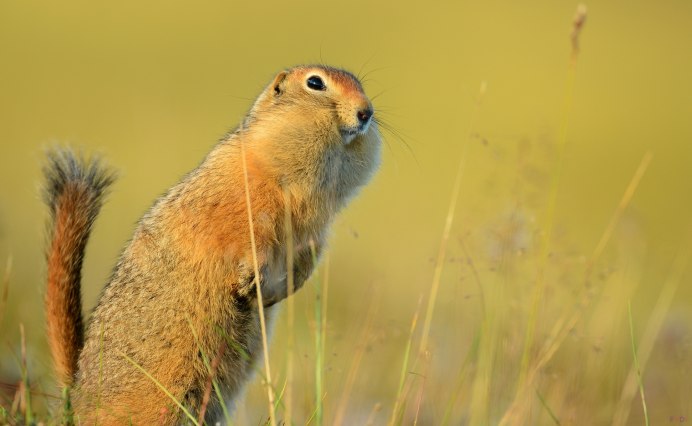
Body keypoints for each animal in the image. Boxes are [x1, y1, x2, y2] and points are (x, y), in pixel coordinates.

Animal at [42, 65, 384, 424]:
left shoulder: (316, 231)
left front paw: (279, 291)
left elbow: (307, 256)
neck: (292, 183)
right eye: (315, 83)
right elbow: (246, 237)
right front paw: (252, 279)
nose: (367, 112)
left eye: (359, 83)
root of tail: (74, 396)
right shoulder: (247, 206)